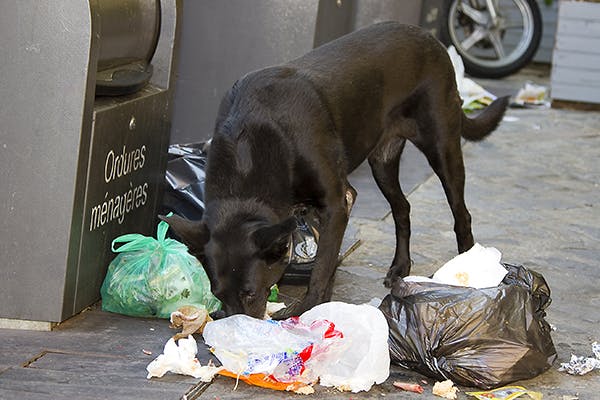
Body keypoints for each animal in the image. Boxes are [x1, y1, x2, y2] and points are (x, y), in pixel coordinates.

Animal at [163, 21, 506, 320]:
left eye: (249, 293)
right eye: (218, 293)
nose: (235, 325)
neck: (250, 146)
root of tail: (429, 37)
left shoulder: (336, 203)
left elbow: (323, 267)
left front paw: (308, 308)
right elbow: (327, 262)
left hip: (442, 147)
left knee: (461, 213)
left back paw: (471, 268)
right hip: (382, 163)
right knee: (402, 208)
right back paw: (400, 267)